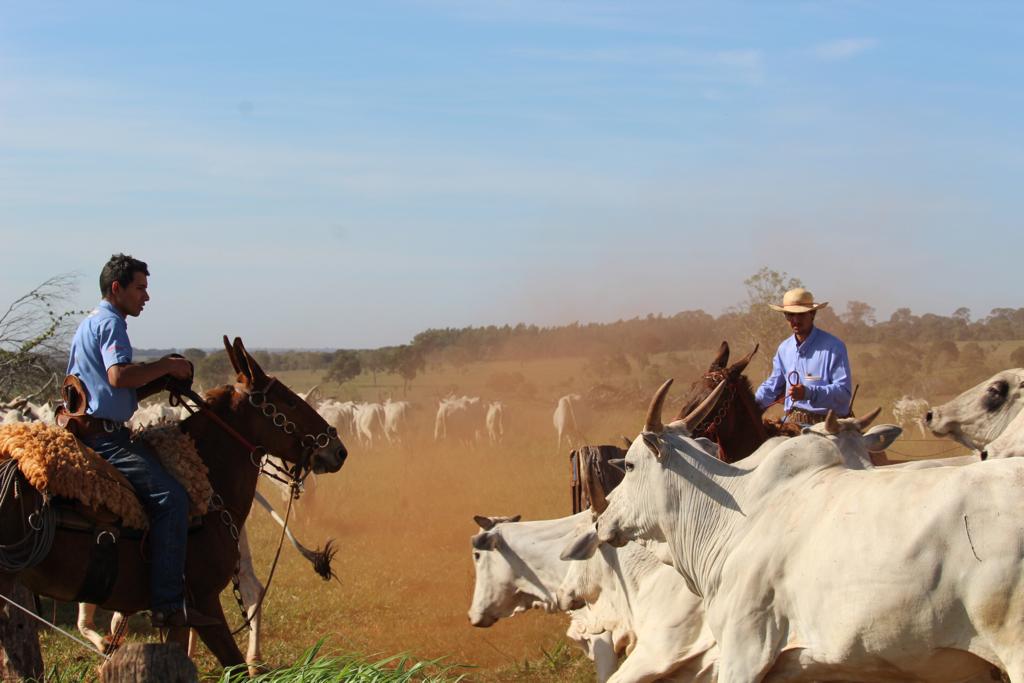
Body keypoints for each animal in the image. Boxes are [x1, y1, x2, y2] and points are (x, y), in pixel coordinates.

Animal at [0, 339, 348, 671]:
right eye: (289, 401)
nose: (338, 449)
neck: (207, 476)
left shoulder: (187, 609)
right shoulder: (201, 600)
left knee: (252, 590)